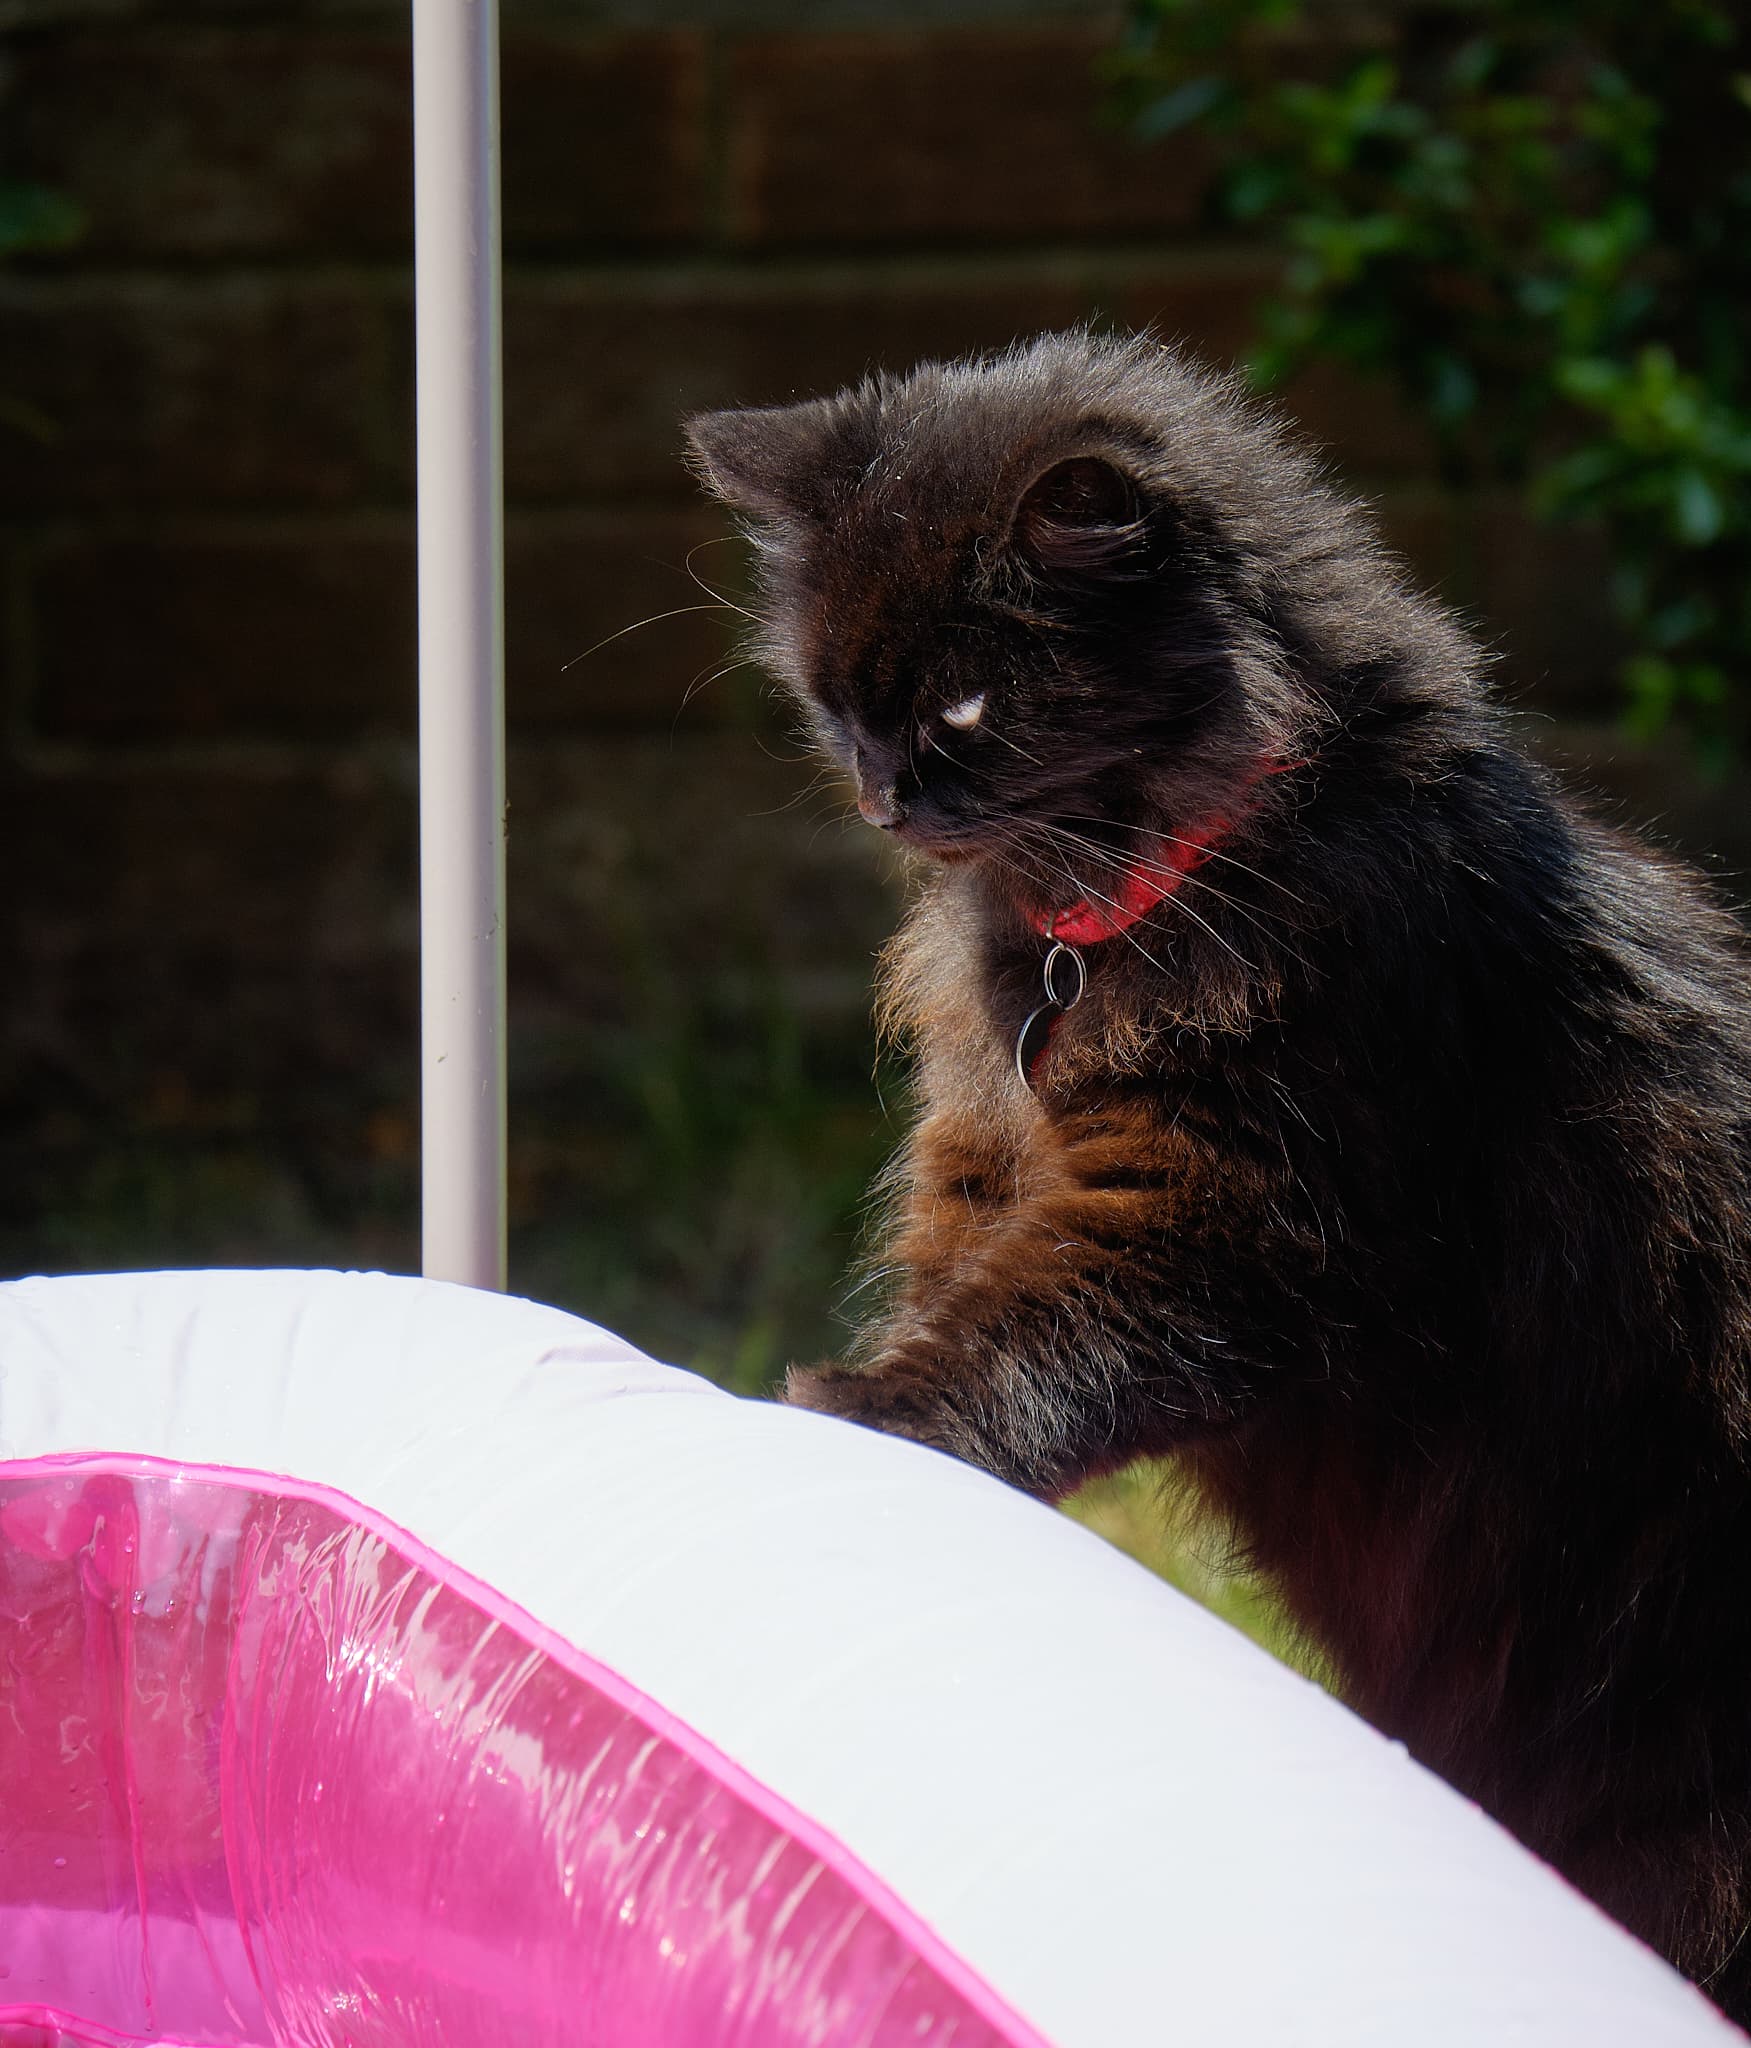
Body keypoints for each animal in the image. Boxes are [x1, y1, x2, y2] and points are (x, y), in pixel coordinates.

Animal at [679, 335, 1751, 2015]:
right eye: (833, 702)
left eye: (968, 703)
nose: (883, 795)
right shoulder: (988, 1178)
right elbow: (966, 1304)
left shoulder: (1217, 1218)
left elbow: (1022, 1345)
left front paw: (857, 1413)